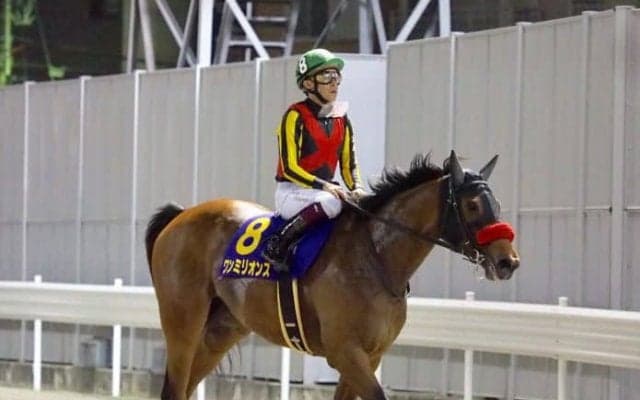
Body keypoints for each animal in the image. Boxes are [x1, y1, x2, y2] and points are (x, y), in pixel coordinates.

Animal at [145, 151, 520, 400]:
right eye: (472, 205)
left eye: (497, 204)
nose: (508, 262)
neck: (375, 256)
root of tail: (181, 215)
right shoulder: (345, 353)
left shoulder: (369, 355)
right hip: (184, 325)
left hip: (221, 330)